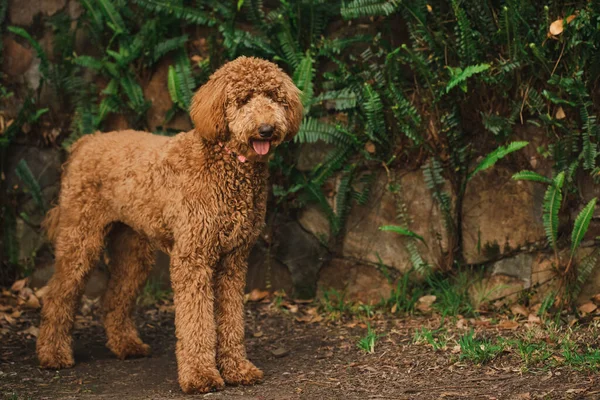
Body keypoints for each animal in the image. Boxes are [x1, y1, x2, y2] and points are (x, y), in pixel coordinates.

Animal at [35, 57, 302, 394]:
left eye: (274, 97)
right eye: (242, 100)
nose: (266, 129)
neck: (226, 162)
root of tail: (87, 141)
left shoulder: (233, 261)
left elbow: (231, 320)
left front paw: (237, 369)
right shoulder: (193, 258)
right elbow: (196, 323)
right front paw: (201, 376)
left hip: (133, 248)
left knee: (114, 296)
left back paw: (126, 345)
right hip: (80, 237)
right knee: (58, 294)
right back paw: (53, 354)